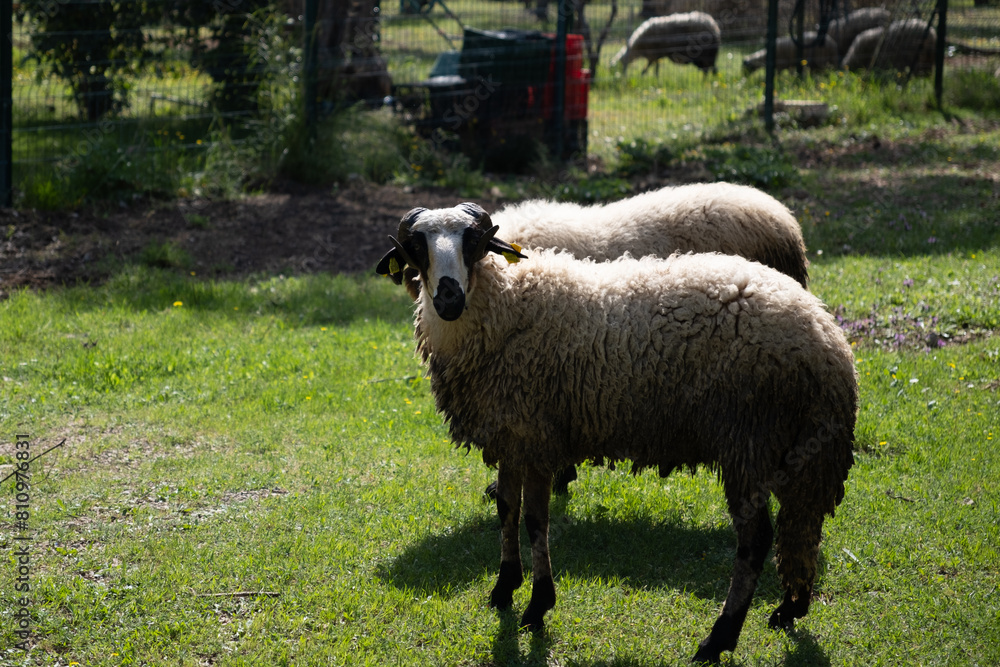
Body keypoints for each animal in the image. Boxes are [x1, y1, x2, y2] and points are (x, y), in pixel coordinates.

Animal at [376, 202, 860, 664]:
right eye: (417, 247)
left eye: (472, 241)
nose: (448, 298)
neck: (506, 303)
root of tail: (828, 338)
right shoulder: (513, 433)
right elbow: (506, 510)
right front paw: (504, 588)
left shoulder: (538, 435)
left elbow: (535, 520)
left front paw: (538, 605)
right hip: (797, 449)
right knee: (801, 527)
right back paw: (789, 608)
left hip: (750, 440)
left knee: (756, 541)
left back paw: (717, 639)